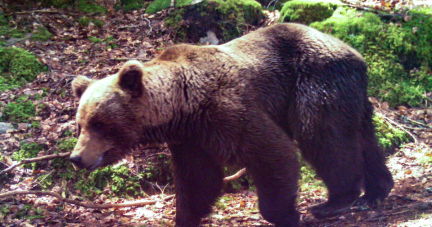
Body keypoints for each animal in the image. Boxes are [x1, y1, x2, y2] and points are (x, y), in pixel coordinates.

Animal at [70, 23, 394, 227]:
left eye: (99, 123)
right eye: (80, 124)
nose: (76, 157)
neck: (182, 106)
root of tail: (356, 54)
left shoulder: (227, 110)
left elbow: (273, 152)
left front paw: (286, 215)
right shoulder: (191, 140)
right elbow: (198, 181)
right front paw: (184, 218)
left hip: (315, 82)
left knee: (323, 135)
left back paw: (335, 201)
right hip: (349, 95)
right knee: (363, 138)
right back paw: (377, 190)